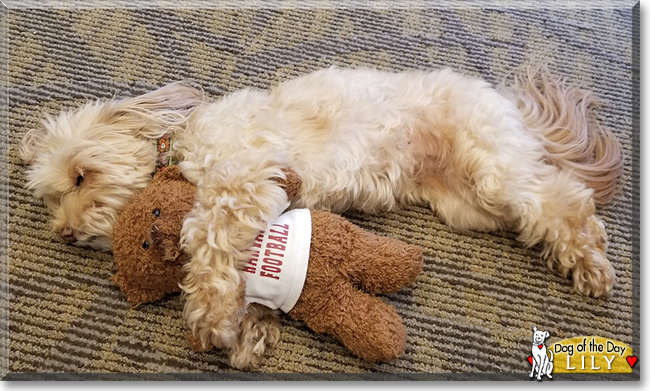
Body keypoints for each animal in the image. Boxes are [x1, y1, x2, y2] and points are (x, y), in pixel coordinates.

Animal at [17, 65, 620, 370]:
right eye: (52, 198)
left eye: (81, 176)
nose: (65, 232)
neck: (180, 144)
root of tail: (511, 107)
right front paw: (252, 332)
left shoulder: (243, 180)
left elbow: (208, 238)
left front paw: (211, 315)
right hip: (468, 206)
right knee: (538, 209)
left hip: (490, 167)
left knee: (560, 199)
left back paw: (589, 260)